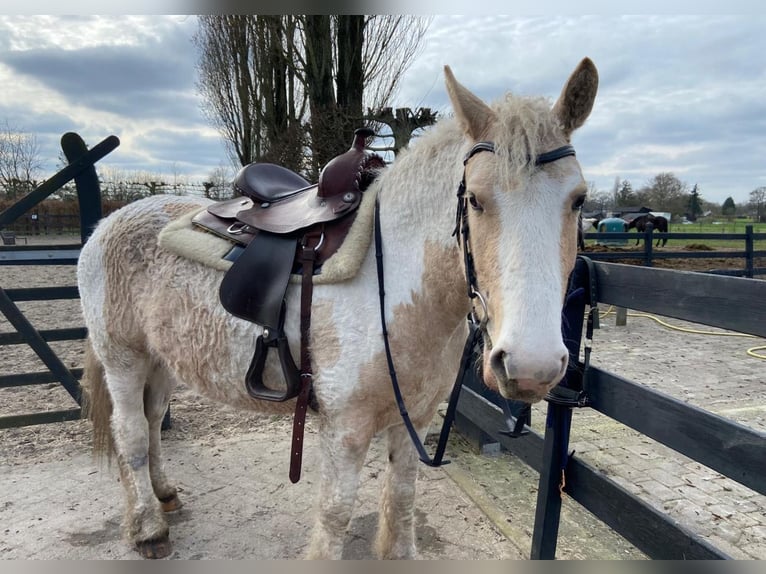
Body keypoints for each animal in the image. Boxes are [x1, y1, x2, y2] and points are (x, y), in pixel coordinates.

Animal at [79, 58, 600, 564]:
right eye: (474, 199)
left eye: (579, 200)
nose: (530, 367)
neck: (397, 289)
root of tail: (107, 224)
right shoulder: (346, 429)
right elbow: (335, 514)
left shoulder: (413, 421)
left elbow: (402, 499)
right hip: (123, 359)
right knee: (131, 433)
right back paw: (149, 528)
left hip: (162, 360)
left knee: (152, 420)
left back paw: (164, 494)